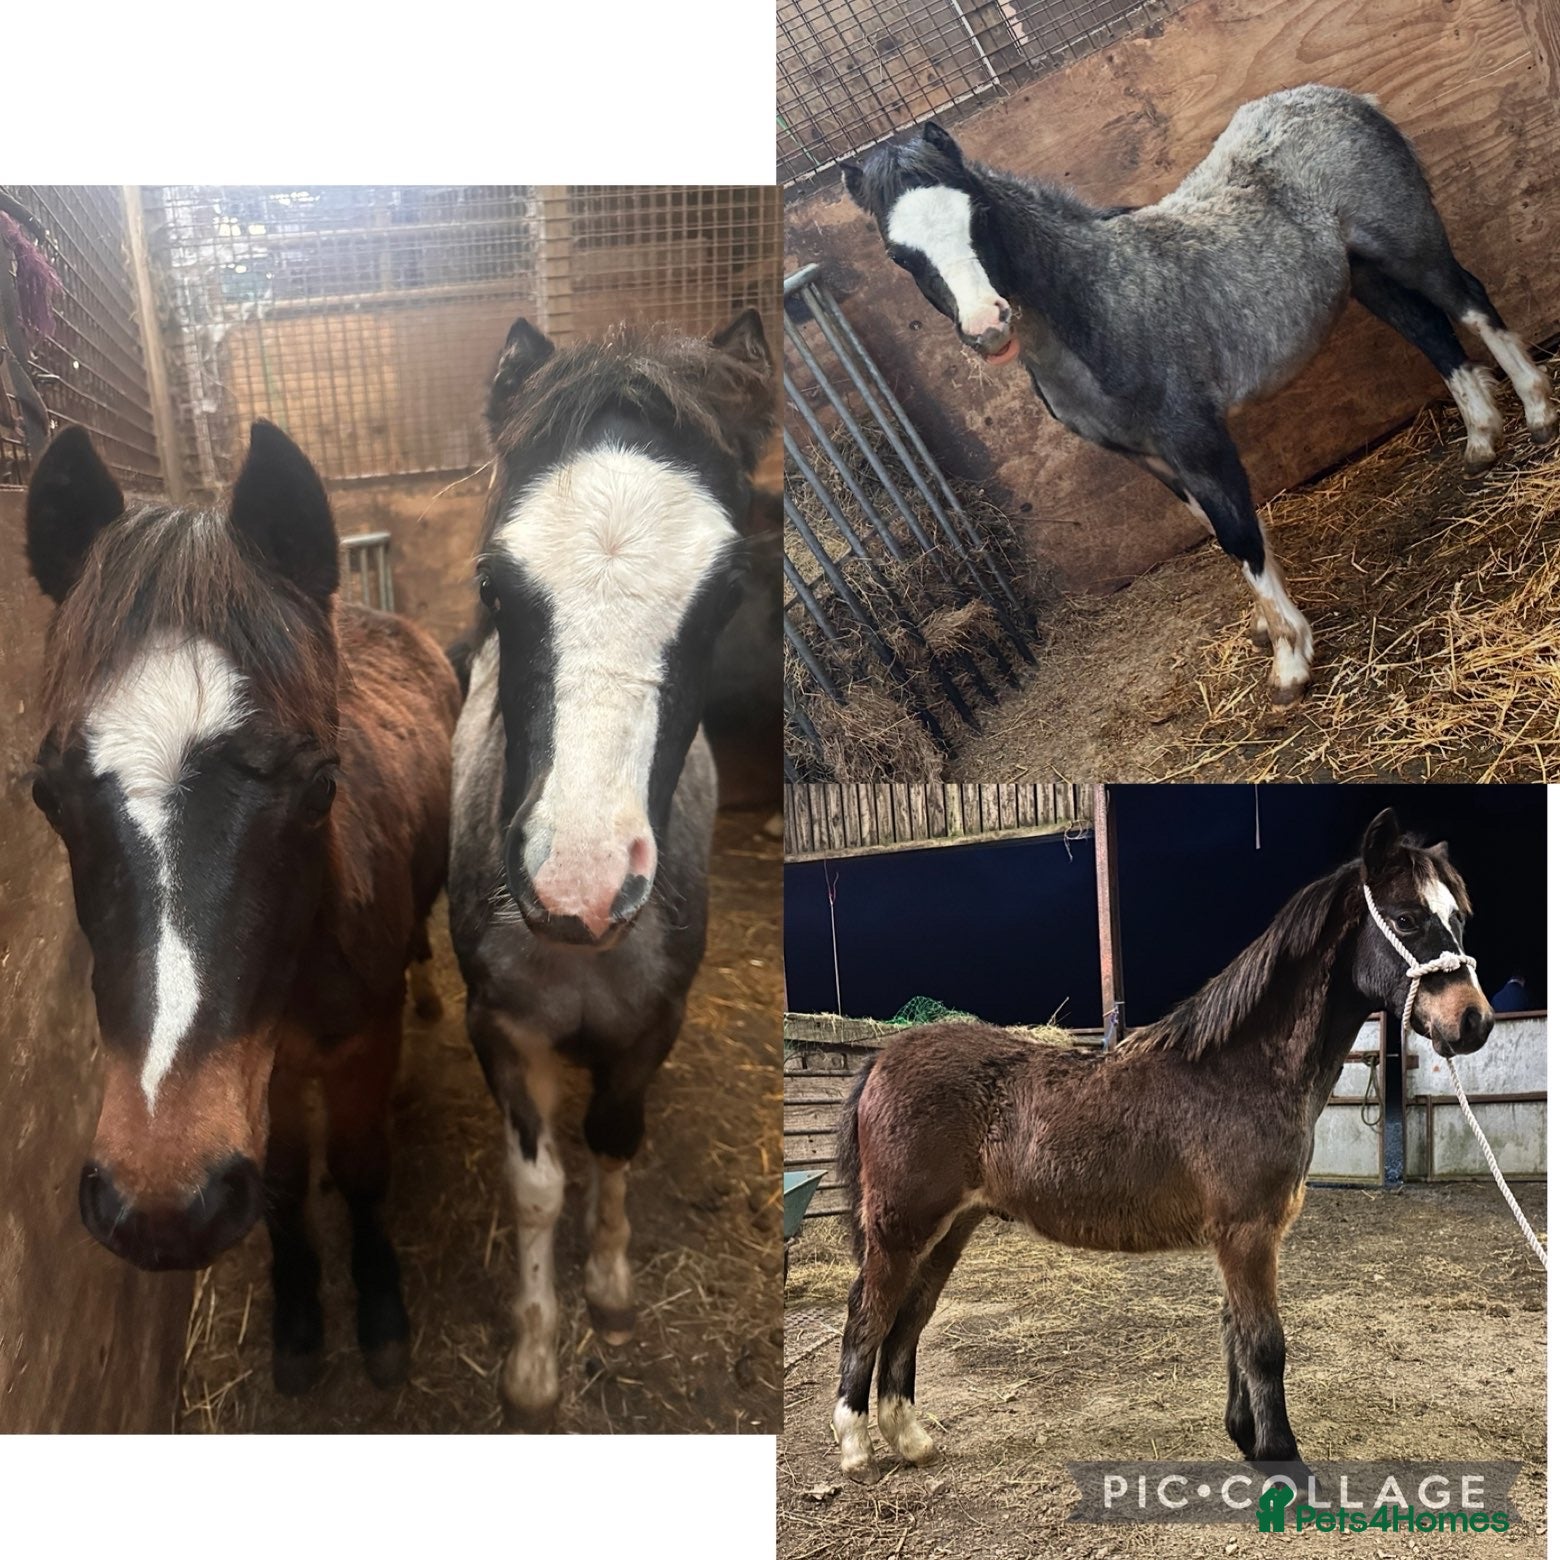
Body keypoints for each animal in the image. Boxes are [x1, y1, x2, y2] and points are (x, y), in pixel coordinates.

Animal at [24, 421, 460, 1393]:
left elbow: (362, 1168)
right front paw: (297, 1323)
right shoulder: (270, 1074)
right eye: (46, 796)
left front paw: (380, 1315)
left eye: (321, 787)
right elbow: (287, 1185)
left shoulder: (360, 1046)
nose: (161, 1204)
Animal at [448, 310, 777, 1427]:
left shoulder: (651, 1026)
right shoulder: (500, 1027)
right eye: (493, 585)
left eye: (727, 597)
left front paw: (612, 1291)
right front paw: (535, 1364)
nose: (579, 885)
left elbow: (616, 1140)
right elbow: (540, 1184)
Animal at [829, 807, 1493, 1483]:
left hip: (949, 1230)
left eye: (1460, 918)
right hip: (900, 1228)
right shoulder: (1247, 1233)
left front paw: (1247, 1441)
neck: (1241, 1070)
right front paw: (1285, 1462)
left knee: (908, 1319)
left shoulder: (1239, 1238)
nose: (1473, 1022)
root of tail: (882, 1060)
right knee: (866, 1316)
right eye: (1406, 919)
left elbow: (1234, 1333)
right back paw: (856, 1449)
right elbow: (1264, 1344)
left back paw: (911, 1441)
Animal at [843, 86, 1557, 705]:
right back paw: (1482, 439)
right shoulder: (1153, 459)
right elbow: (1224, 533)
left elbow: (1239, 533)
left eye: (980, 217)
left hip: (1410, 248)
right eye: (901, 255)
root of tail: (1346, 99)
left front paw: (1291, 662)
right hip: (1364, 275)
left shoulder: (1196, 437)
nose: (988, 327)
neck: (1102, 300)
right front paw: (1271, 626)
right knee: (1430, 332)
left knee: (1469, 303)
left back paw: (1538, 411)